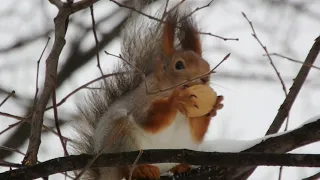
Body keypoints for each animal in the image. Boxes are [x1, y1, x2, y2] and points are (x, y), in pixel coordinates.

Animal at [71, 1, 224, 179]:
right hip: (120, 137)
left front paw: (214, 107)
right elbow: (148, 120)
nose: (205, 79)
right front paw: (175, 100)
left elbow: (197, 131)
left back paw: (180, 167)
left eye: (207, 64)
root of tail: (103, 174)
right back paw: (142, 169)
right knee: (125, 168)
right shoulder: (140, 101)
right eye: (179, 65)